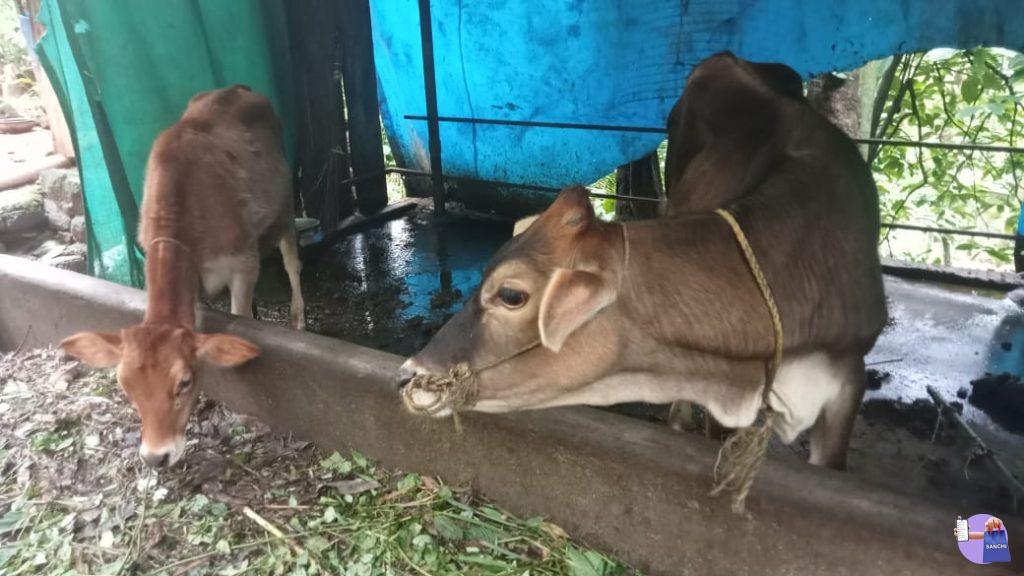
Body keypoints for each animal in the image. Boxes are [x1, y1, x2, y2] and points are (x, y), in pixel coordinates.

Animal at [60, 85, 305, 468]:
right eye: (125, 388)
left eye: (184, 383)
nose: (155, 457)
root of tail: (237, 89)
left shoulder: (243, 261)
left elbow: (240, 317)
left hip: (285, 205)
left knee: (292, 261)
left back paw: (298, 318)